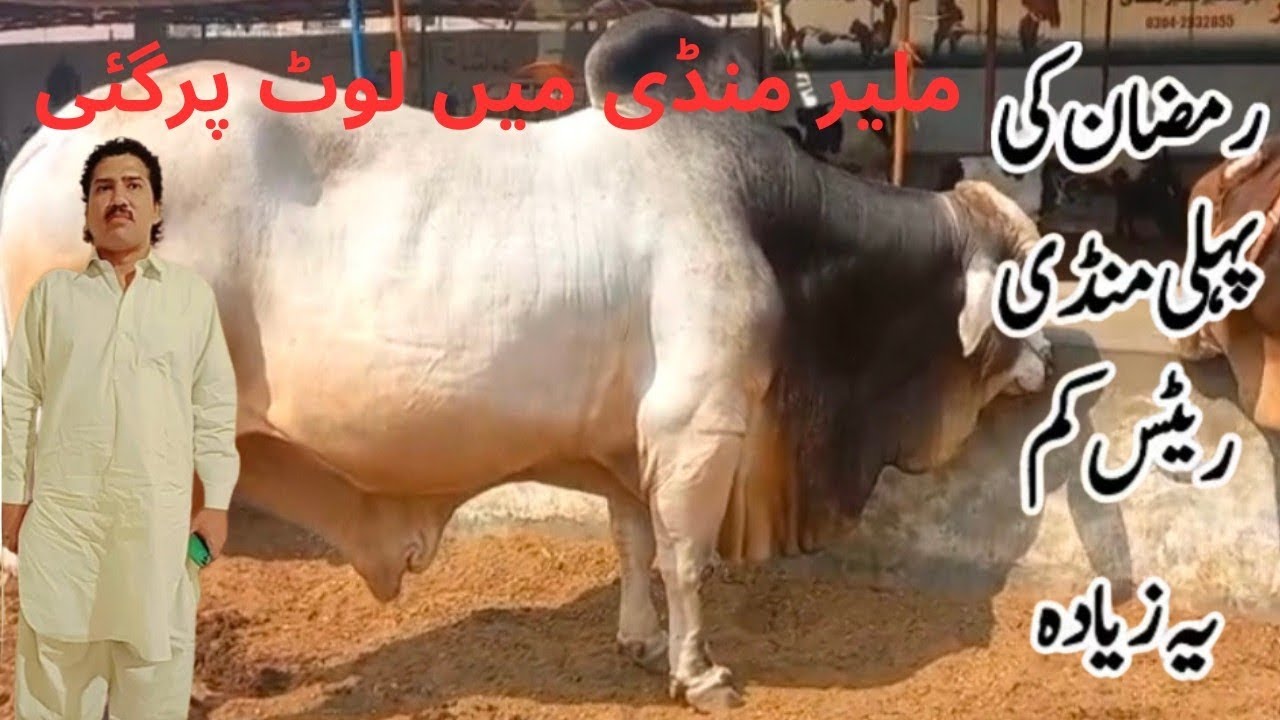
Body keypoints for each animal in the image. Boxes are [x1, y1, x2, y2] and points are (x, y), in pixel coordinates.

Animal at [0, 40, 1052, 714]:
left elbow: (633, 544)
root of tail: (40, 150)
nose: (1047, 366)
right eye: (1025, 286)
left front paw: (639, 642)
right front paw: (699, 672)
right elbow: (686, 558)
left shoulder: (631, 444)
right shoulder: (698, 428)